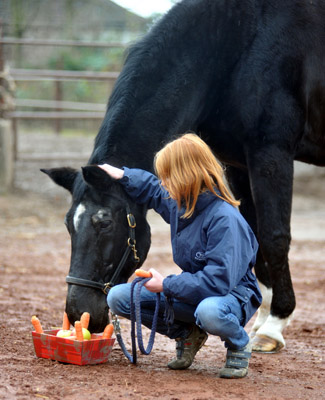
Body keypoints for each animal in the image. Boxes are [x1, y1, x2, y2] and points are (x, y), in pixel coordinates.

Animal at [41, 0, 322, 350]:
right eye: (69, 224)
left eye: (104, 222)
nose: (79, 314)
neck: (238, 43)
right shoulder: (239, 162)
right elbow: (253, 235)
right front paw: (261, 317)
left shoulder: (271, 153)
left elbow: (274, 237)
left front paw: (274, 325)